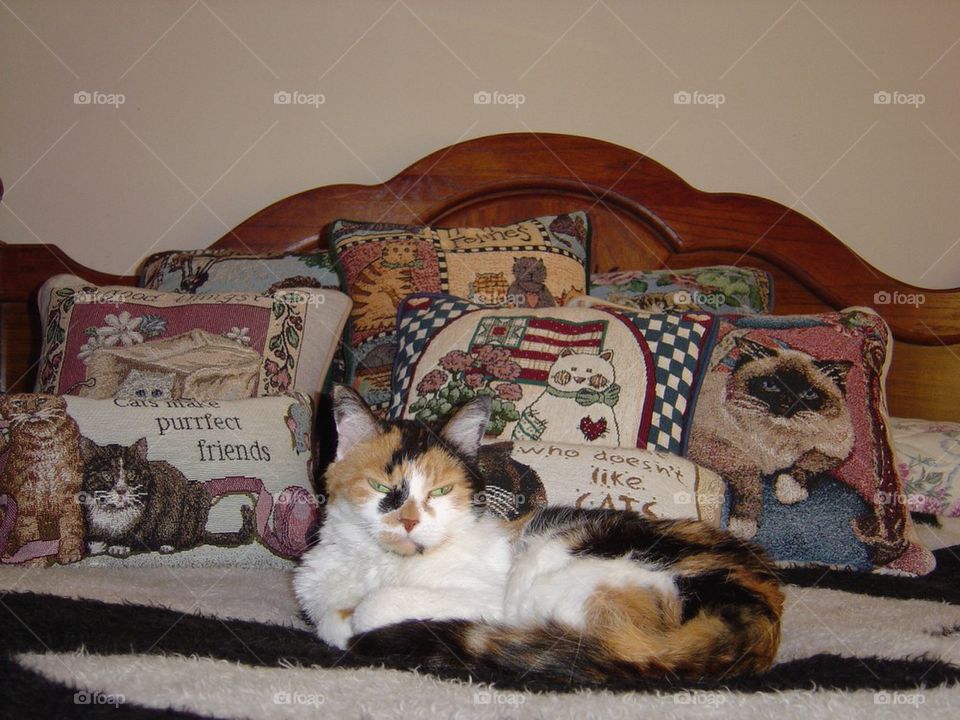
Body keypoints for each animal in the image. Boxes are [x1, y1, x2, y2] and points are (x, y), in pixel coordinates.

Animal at [0, 396, 84, 564]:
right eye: (18, 403)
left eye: (42, 400)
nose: (31, 411)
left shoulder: (69, 494)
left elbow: (70, 527)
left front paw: (70, 551)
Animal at [78, 434, 255, 556]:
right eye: (106, 475)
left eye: (131, 475)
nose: (121, 490)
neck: (114, 512)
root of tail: (201, 531)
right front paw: (97, 545)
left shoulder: (152, 511)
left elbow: (136, 532)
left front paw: (119, 546)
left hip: (197, 495)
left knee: (186, 538)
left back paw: (168, 545)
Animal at [292, 386, 780, 676]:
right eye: (379, 486)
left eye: (441, 490)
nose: (409, 520)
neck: (379, 566)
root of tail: (758, 612)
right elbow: (328, 617)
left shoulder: (488, 598)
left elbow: (370, 609)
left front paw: (363, 620)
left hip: (550, 575)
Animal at [688, 334, 856, 536]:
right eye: (770, 385)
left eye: (809, 394)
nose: (787, 403)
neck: (777, 440)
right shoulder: (711, 445)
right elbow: (748, 471)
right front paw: (743, 524)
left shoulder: (839, 445)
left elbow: (811, 460)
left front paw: (789, 489)